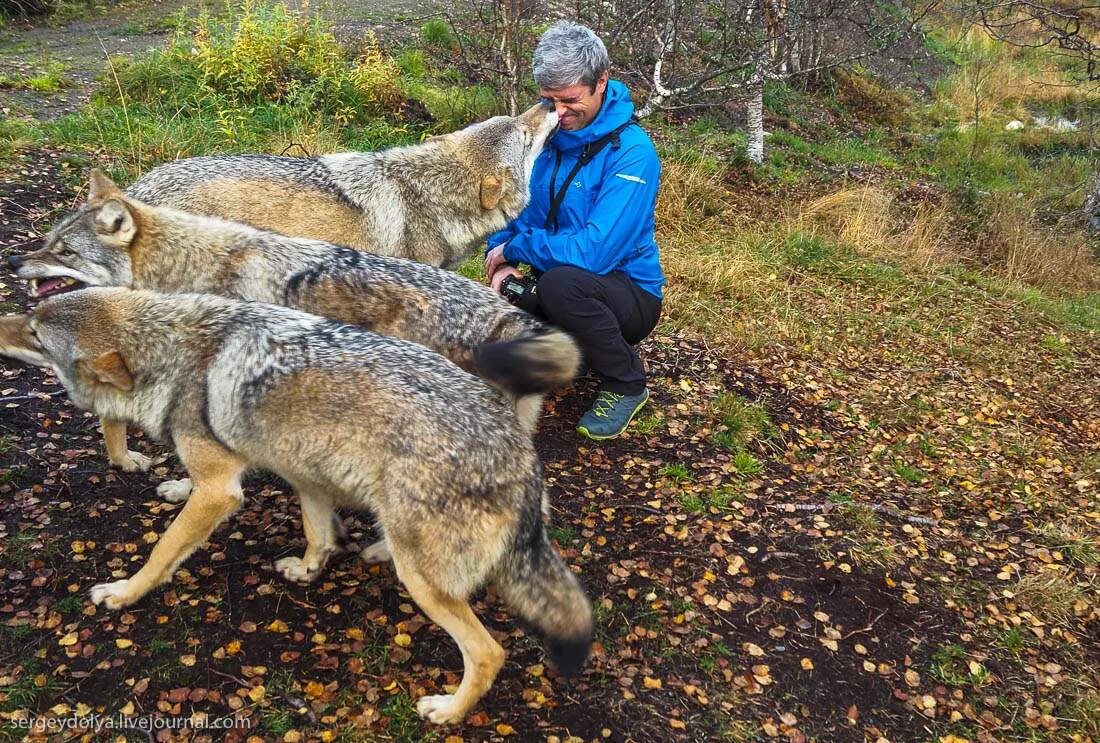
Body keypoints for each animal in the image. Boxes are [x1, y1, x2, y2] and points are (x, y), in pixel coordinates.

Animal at [0, 288, 594, 722]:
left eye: (34, 333)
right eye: (31, 316)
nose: (3, 322)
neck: (174, 357)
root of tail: (519, 456)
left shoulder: (221, 490)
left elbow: (161, 552)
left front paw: (124, 593)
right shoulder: (301, 466)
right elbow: (316, 531)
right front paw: (309, 569)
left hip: (425, 583)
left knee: (489, 653)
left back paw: (447, 711)